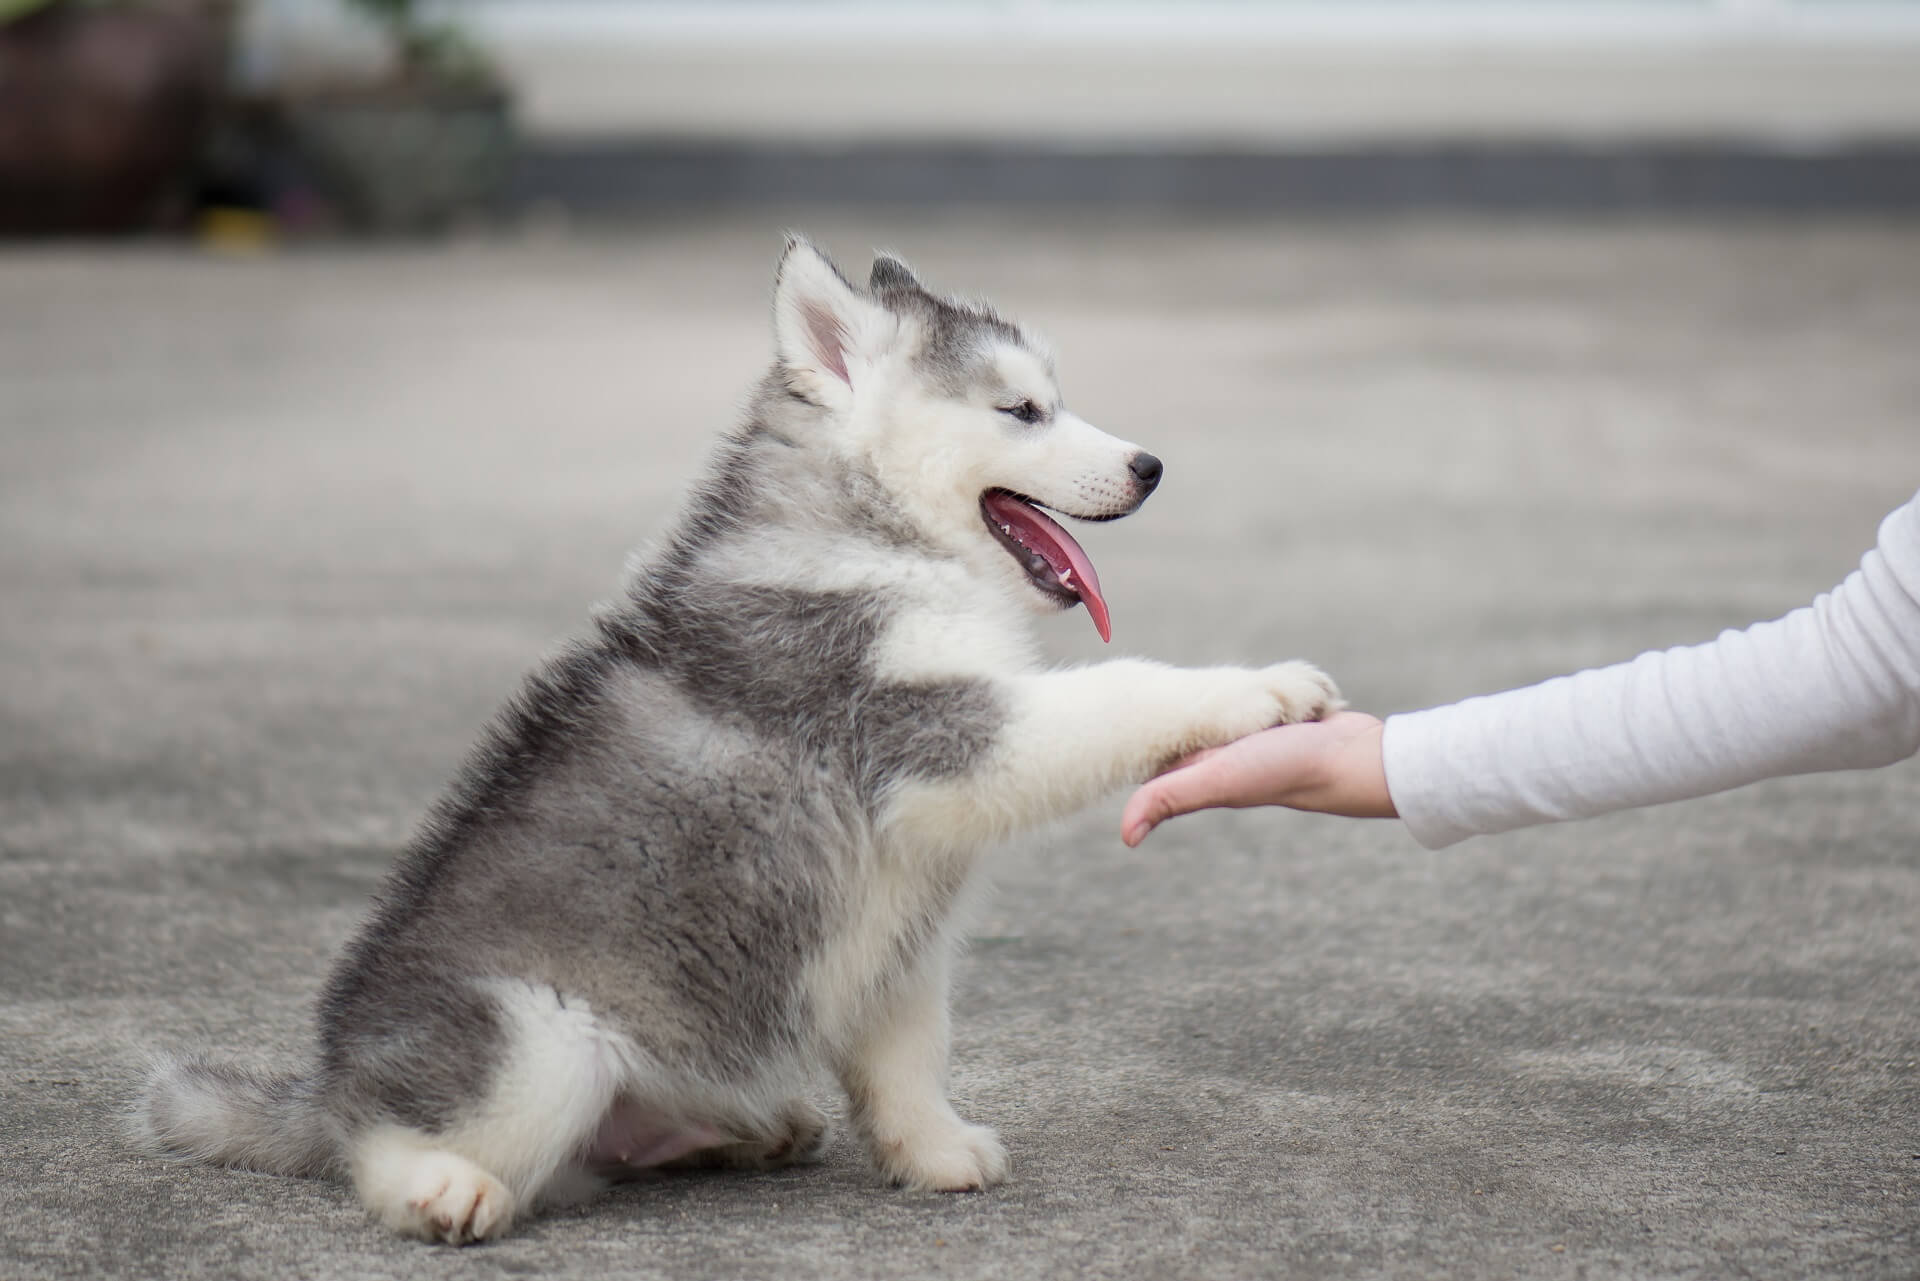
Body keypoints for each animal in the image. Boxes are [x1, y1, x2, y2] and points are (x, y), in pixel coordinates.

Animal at [135, 240, 1344, 1244]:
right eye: (1023, 409)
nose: (1149, 466)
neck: (873, 532)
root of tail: (330, 1081)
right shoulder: (932, 728)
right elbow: (1119, 692)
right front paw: (1260, 689)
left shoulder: (900, 918)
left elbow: (909, 1051)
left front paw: (932, 1150)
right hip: (538, 1043)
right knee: (387, 1146)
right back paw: (439, 1188)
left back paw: (751, 1130)